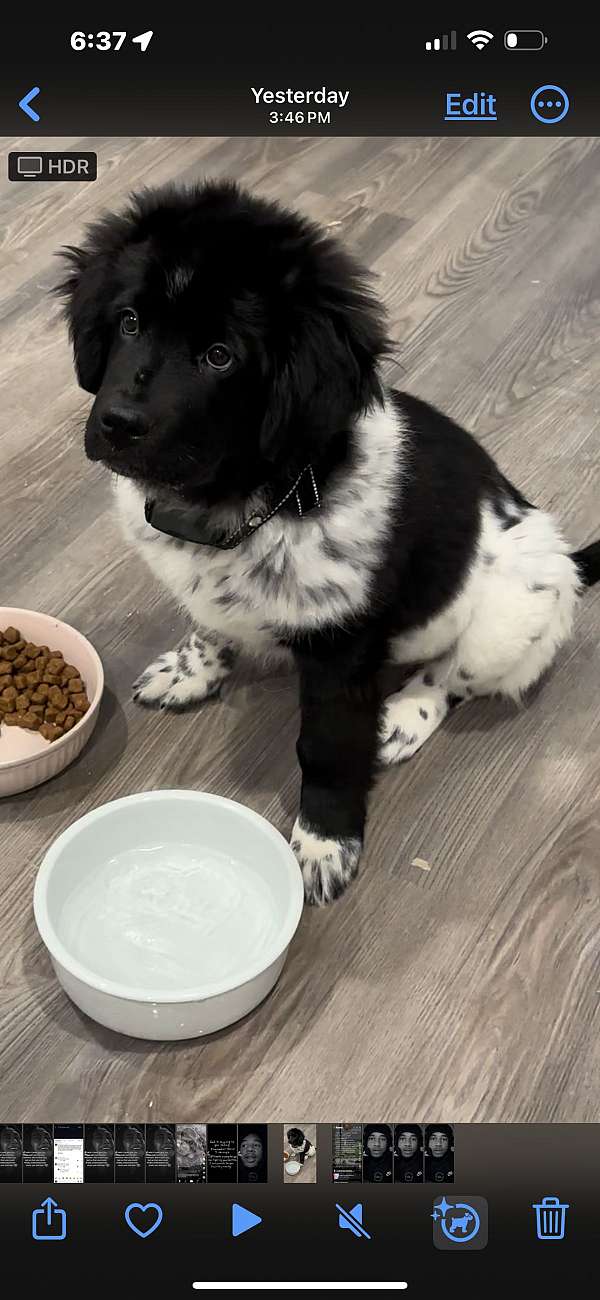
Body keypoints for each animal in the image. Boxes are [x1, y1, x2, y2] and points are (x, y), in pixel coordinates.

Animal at [57, 180, 600, 904]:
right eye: (128, 322)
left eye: (221, 356)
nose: (117, 423)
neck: (248, 501)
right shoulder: (207, 593)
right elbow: (211, 624)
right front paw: (193, 671)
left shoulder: (342, 651)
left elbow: (328, 747)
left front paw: (324, 842)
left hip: (517, 607)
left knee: (456, 673)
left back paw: (406, 715)